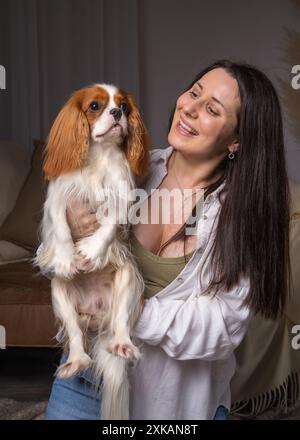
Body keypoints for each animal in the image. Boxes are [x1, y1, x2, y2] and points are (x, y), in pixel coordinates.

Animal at [34, 83, 149, 420]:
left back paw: (122, 346)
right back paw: (75, 362)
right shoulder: (58, 199)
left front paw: (92, 251)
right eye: (95, 106)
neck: (99, 157)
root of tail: (98, 318)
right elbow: (61, 228)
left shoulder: (122, 195)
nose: (117, 113)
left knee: (121, 324)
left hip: (129, 282)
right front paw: (66, 258)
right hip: (59, 294)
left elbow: (110, 223)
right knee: (75, 337)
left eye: (124, 106)